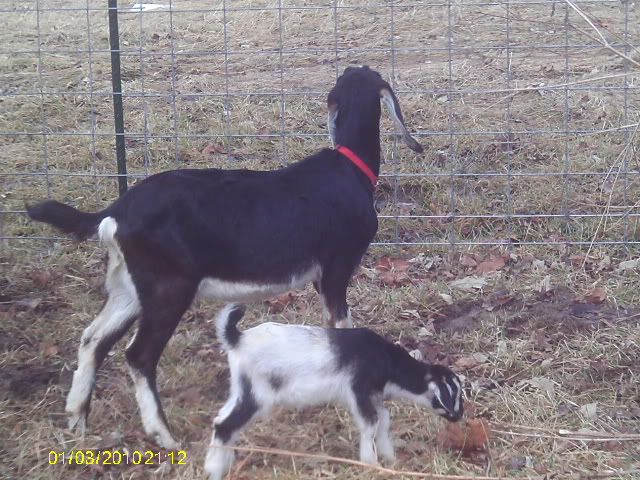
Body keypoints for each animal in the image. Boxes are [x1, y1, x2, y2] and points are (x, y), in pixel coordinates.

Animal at [26, 66, 423, 449]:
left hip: (130, 286)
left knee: (93, 339)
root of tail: (118, 212)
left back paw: (77, 418)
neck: (349, 168)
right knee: (138, 355)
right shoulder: (336, 270)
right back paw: (163, 435)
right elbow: (341, 328)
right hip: (169, 288)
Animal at [205, 304, 463, 480]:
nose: (459, 417)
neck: (387, 362)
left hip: (242, 387)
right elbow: (371, 423)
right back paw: (215, 470)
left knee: (221, 419)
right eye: (451, 395)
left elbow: (384, 419)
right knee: (226, 424)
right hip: (259, 393)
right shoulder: (359, 389)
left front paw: (388, 457)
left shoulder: (373, 395)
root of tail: (237, 339)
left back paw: (223, 462)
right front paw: (371, 463)